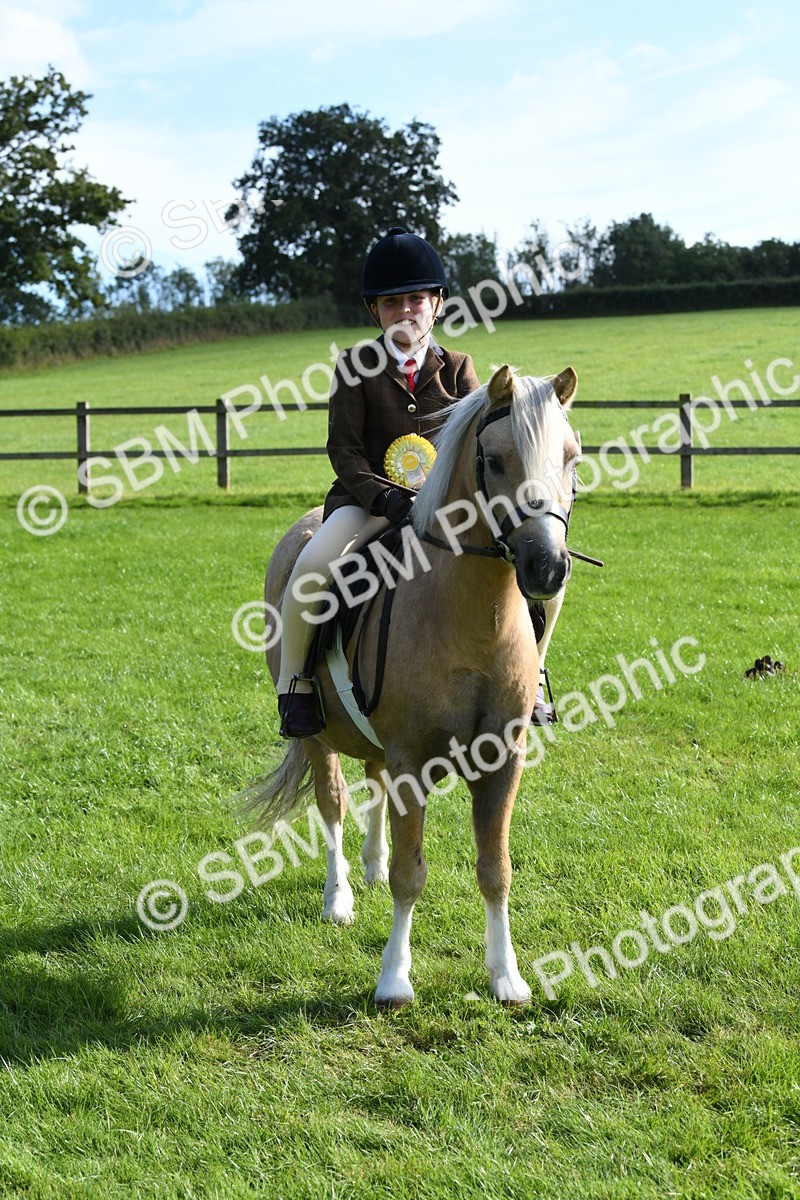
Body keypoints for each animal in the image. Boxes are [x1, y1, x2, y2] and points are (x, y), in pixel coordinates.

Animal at [245, 364, 582, 1007]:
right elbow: (411, 874)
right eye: (494, 459)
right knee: (333, 802)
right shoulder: (411, 761)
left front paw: (507, 976)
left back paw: (370, 865)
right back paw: (340, 898)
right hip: (316, 735)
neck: (471, 618)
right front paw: (395, 978)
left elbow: (495, 869)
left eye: (572, 458)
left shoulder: (502, 761)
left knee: (371, 787)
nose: (547, 568)